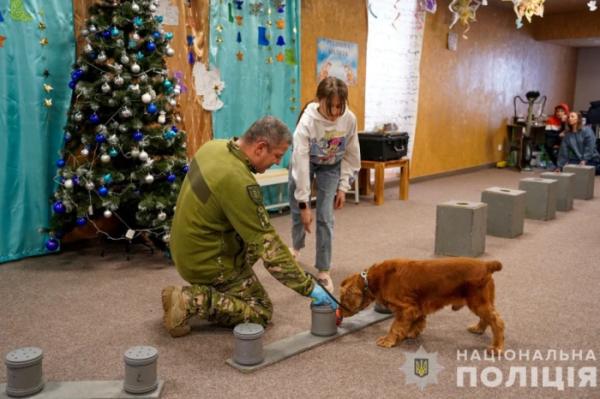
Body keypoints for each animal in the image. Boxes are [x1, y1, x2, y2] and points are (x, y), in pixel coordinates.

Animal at [340, 260, 504, 354]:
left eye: (342, 299)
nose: (339, 314)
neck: (372, 279)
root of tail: (486, 265)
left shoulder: (406, 308)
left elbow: (395, 326)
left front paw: (388, 340)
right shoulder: (417, 306)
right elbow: (418, 322)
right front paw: (411, 333)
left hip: (478, 302)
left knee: (497, 322)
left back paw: (497, 347)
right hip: (484, 301)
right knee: (488, 319)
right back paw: (478, 329)